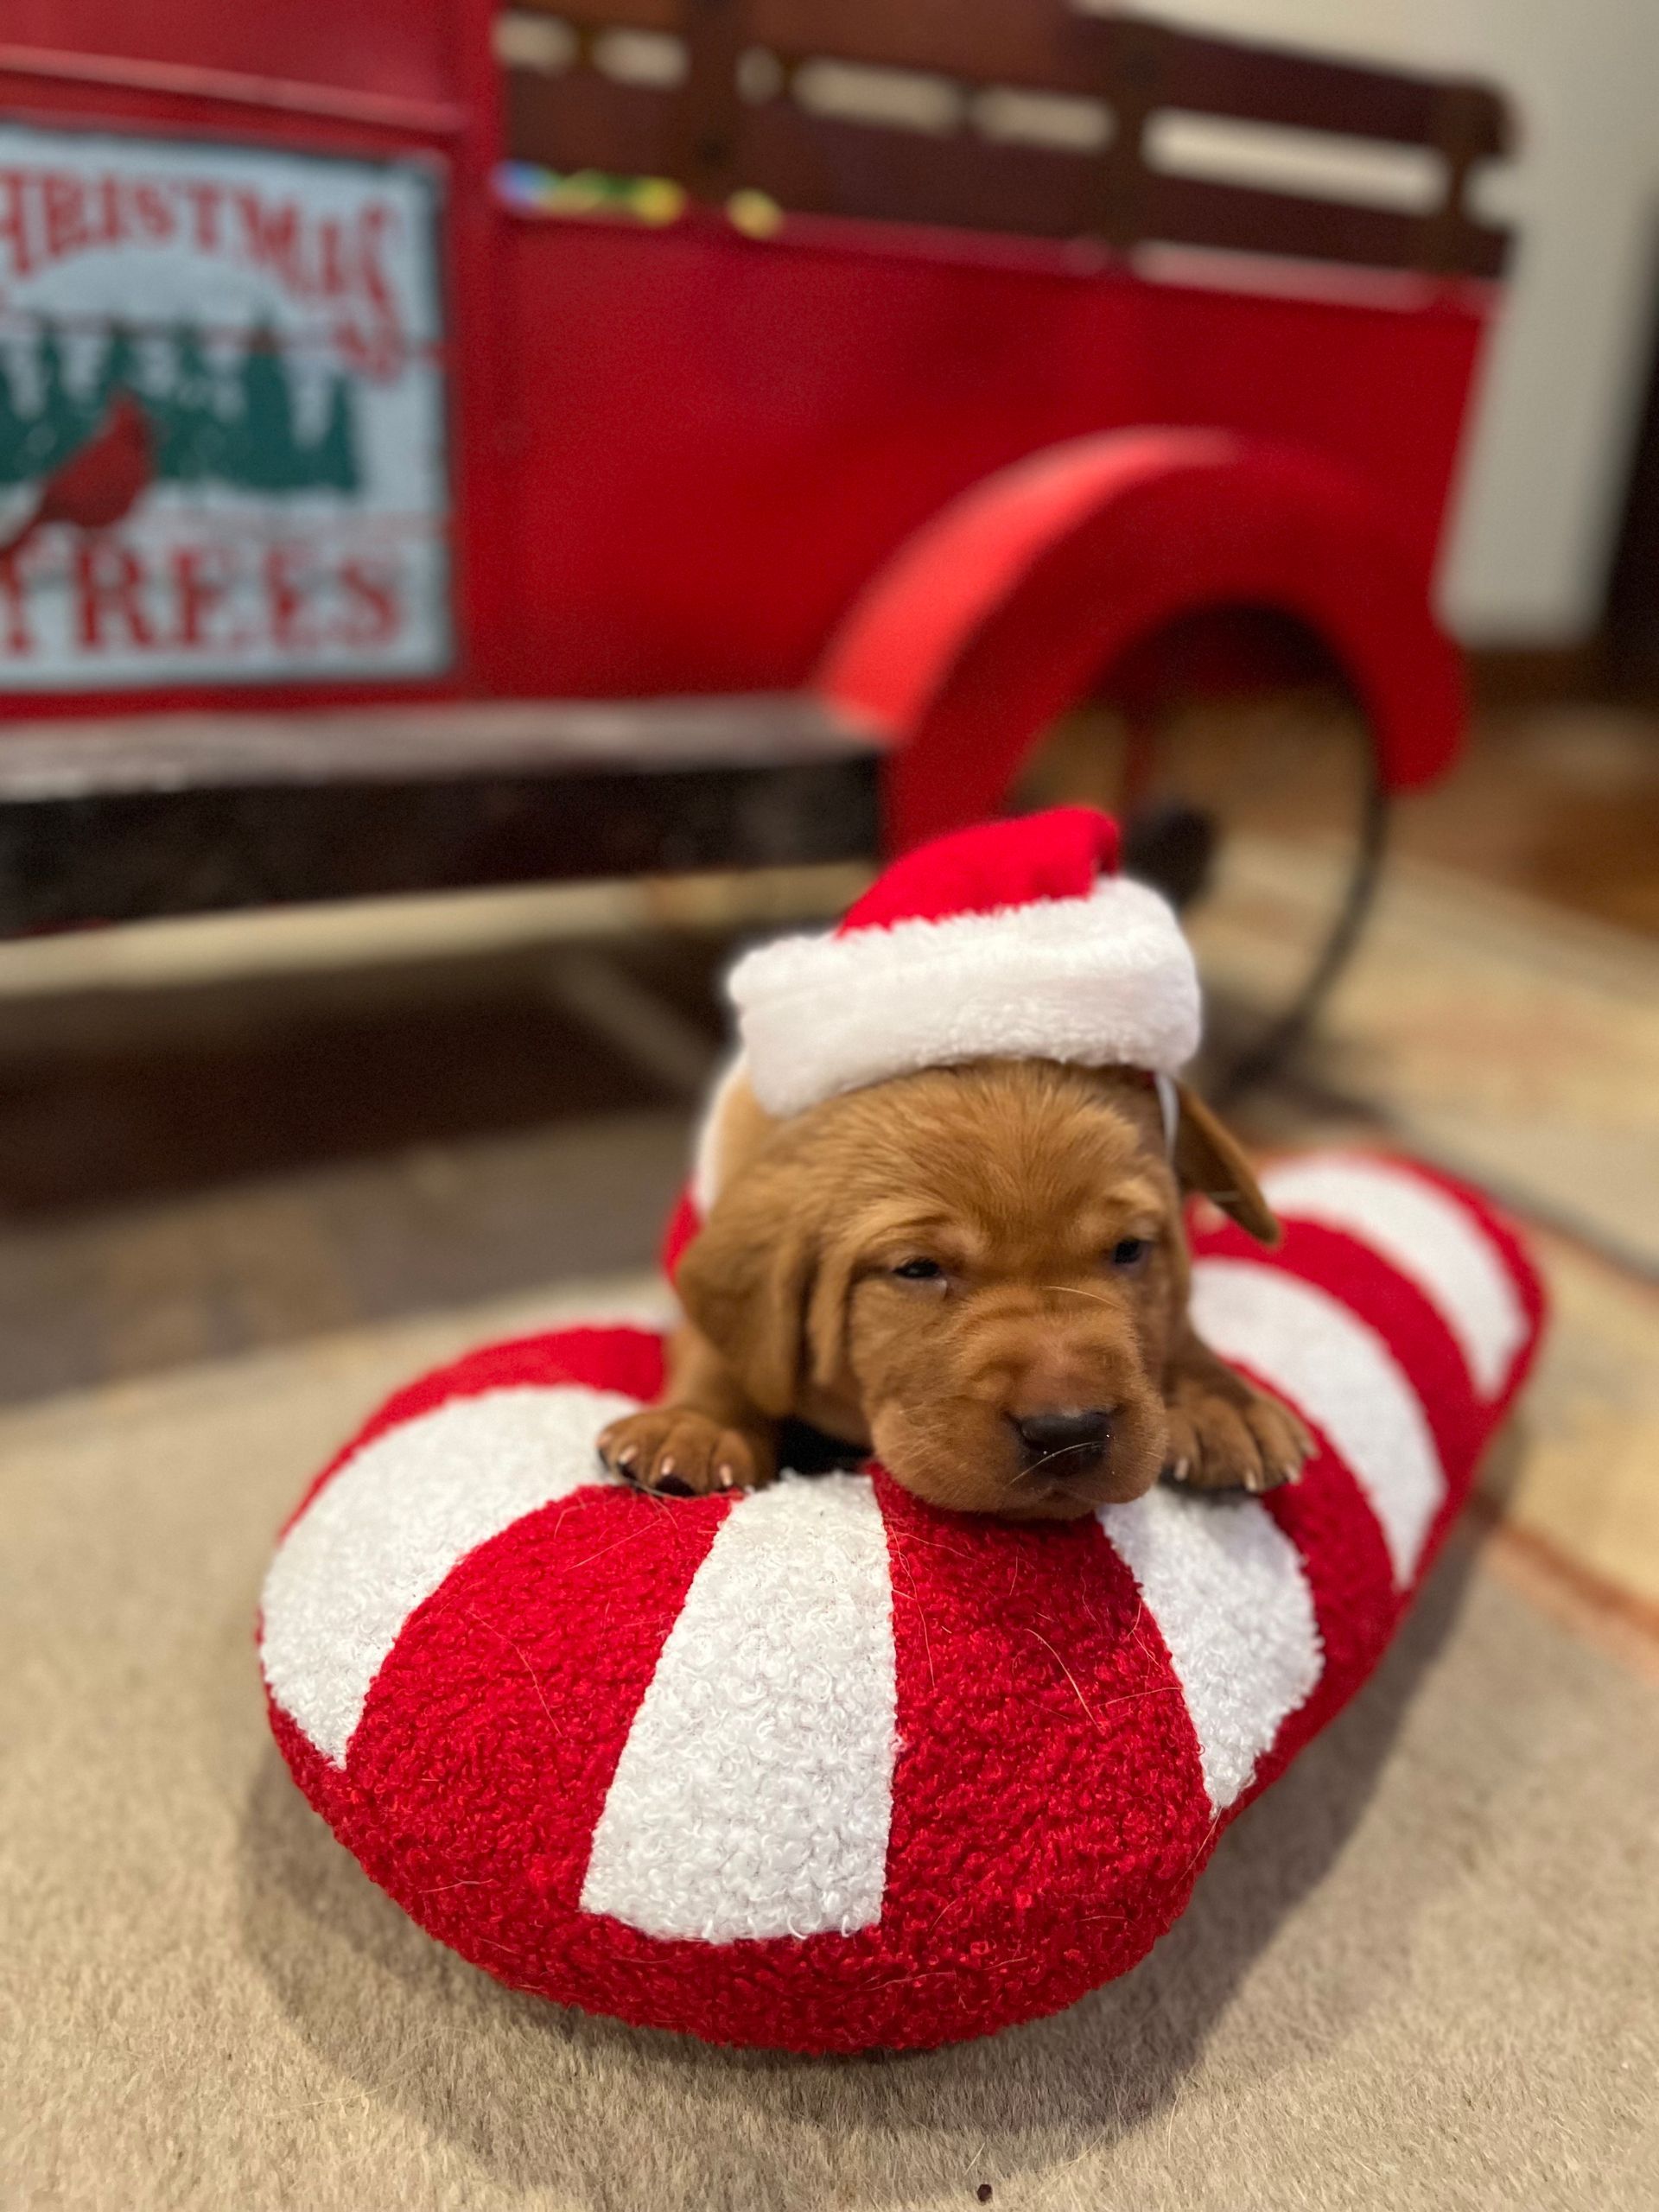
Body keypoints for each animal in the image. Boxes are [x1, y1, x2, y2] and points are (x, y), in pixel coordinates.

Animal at [598, 1055, 1312, 1519]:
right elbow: (723, 1352)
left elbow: (1181, 1323)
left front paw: (1224, 1403)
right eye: (917, 1269)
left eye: (1129, 1251)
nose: (1067, 1433)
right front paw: (696, 1423)